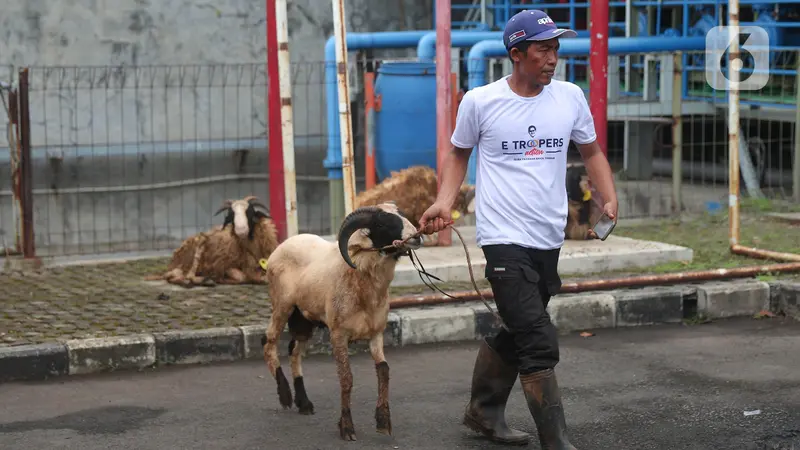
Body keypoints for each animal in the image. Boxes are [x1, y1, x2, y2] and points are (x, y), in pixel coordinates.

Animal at [262, 202, 424, 442]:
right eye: (381, 223)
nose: (417, 237)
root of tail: (283, 244)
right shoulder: (338, 333)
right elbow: (346, 378)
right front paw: (347, 427)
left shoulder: (376, 332)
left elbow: (384, 371)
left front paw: (383, 420)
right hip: (282, 305)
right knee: (270, 341)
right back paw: (285, 396)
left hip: (304, 317)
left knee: (294, 350)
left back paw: (304, 403)